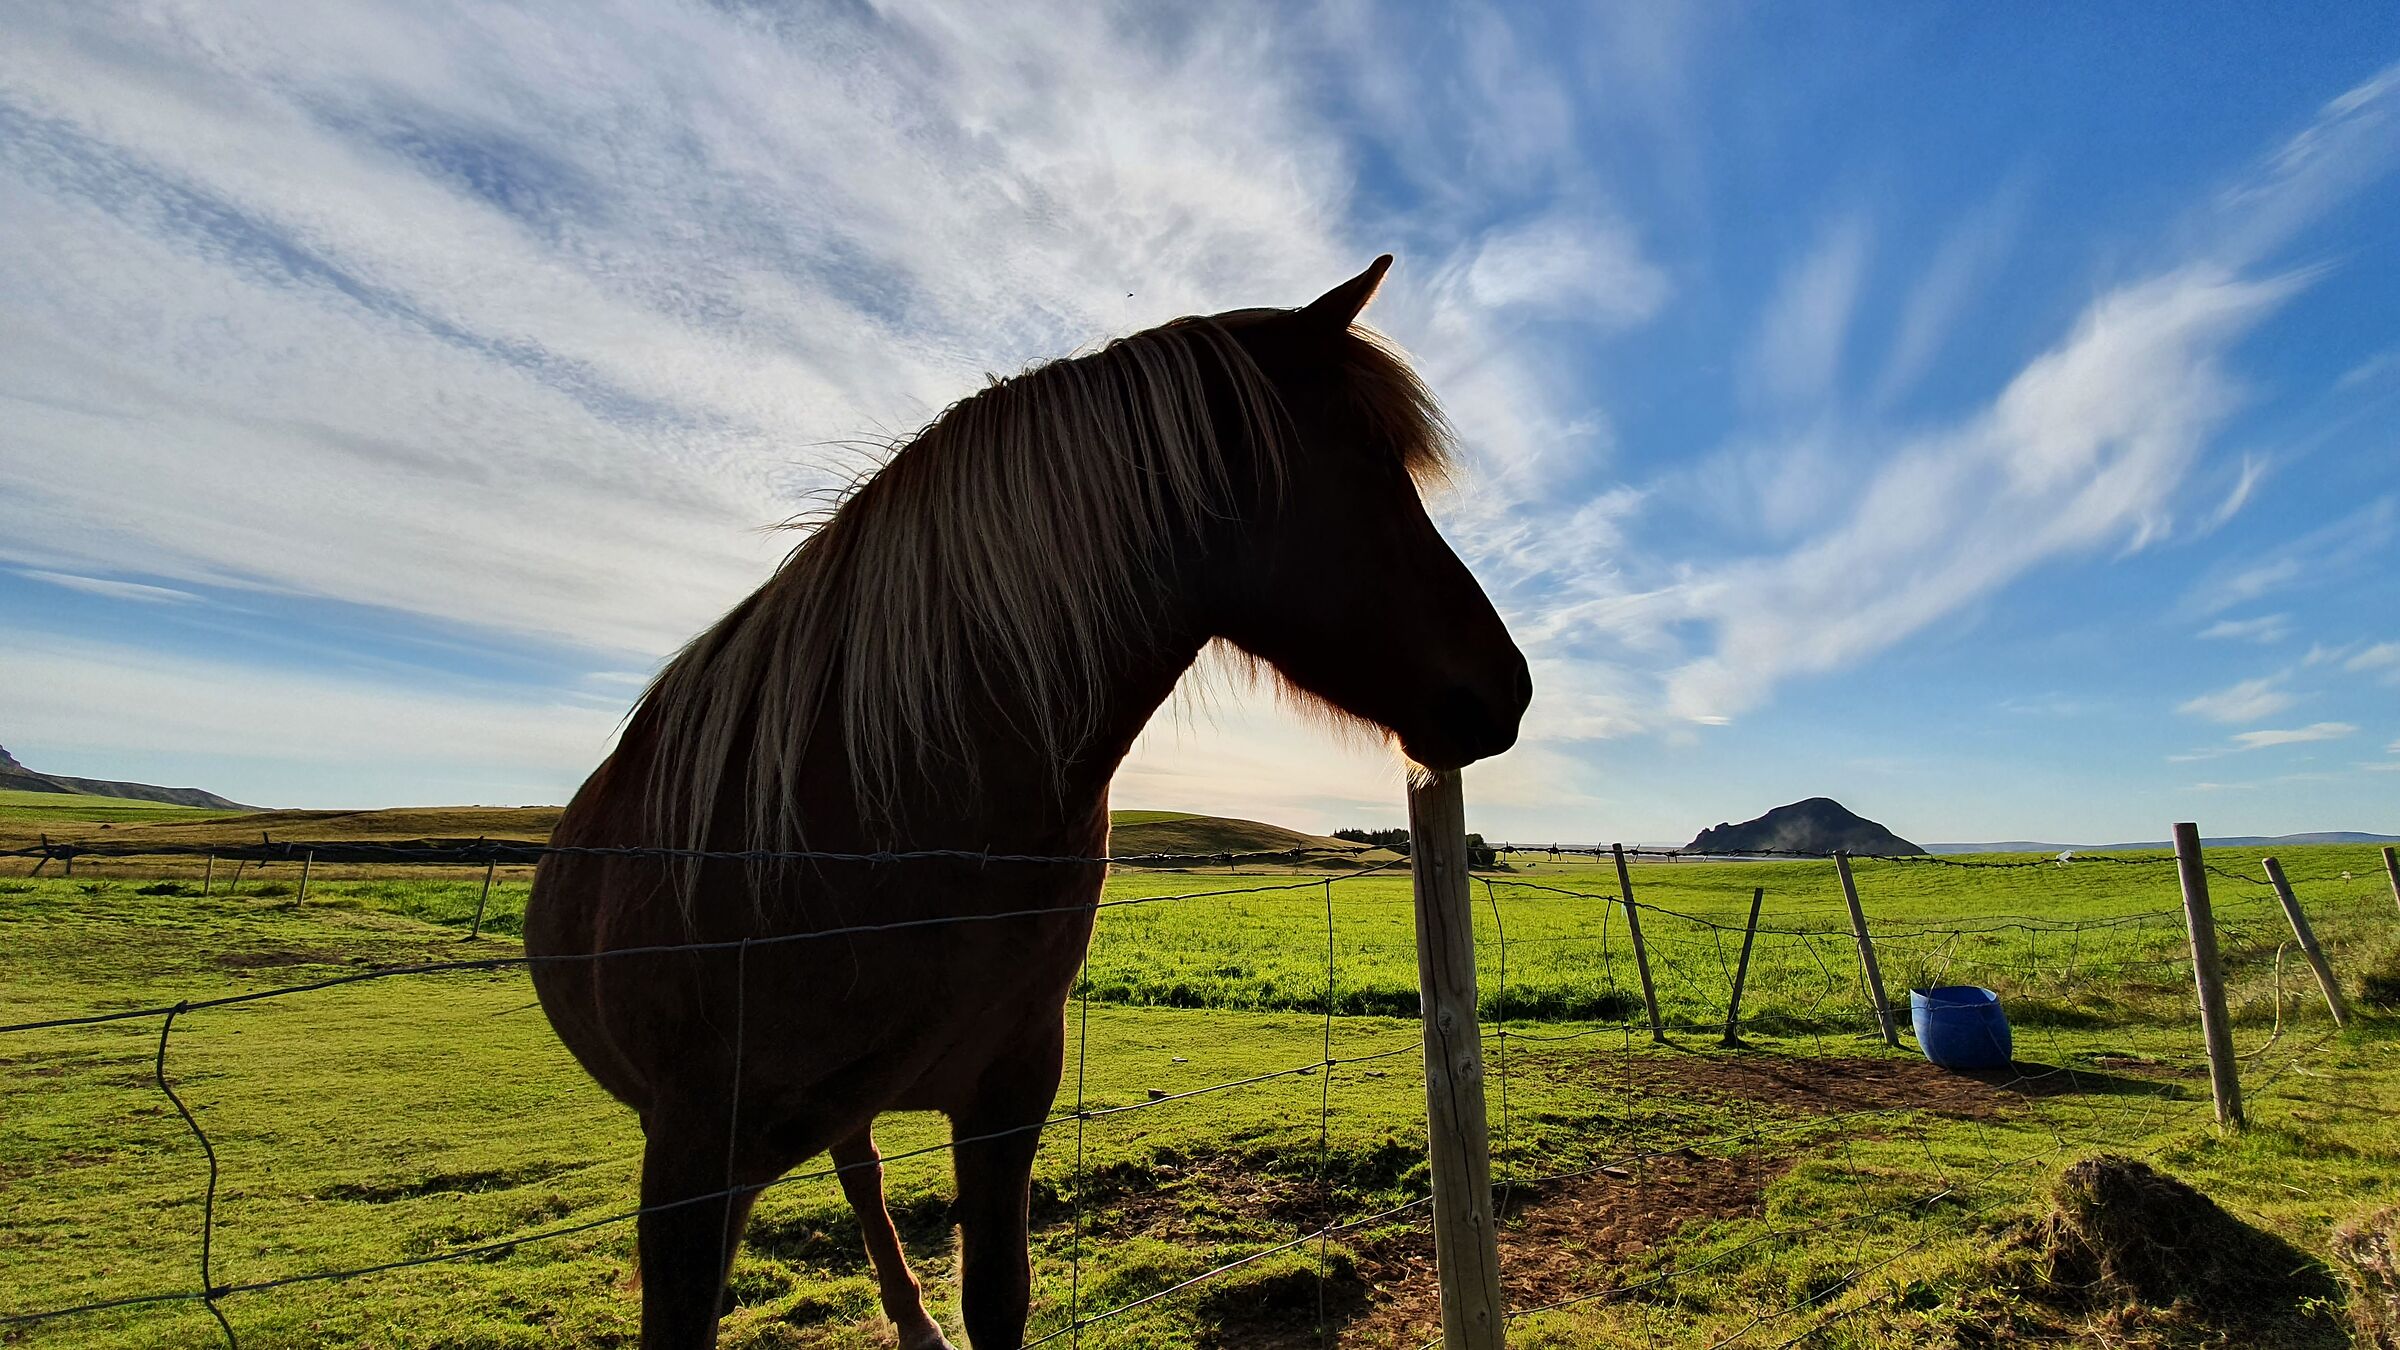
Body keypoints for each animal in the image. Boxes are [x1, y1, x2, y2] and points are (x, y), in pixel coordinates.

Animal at [524, 256, 1531, 1349]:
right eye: (1369, 464)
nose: (1508, 689)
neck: (883, 818)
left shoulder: (1008, 1097)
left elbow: (998, 1297)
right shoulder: (690, 1162)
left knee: (859, 1162)